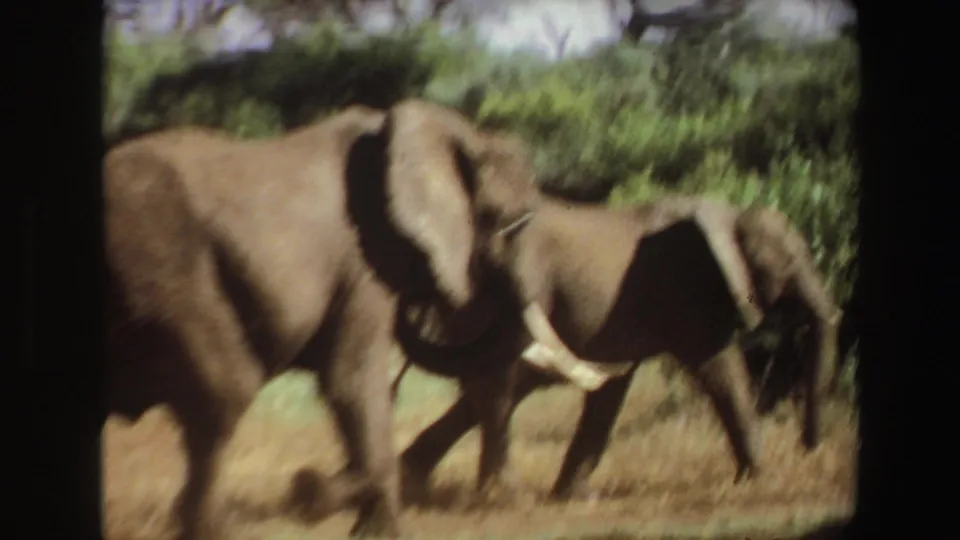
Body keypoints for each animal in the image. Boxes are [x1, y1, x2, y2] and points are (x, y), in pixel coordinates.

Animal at [104, 98, 609, 539]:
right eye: (509, 222)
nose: (303, 481)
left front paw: (362, 522)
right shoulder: (364, 259)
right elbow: (353, 380)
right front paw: (370, 520)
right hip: (167, 271)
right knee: (226, 391)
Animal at [391, 194, 842, 505]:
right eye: (788, 266)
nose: (808, 447)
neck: (729, 217)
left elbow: (613, 387)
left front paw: (576, 498)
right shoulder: (687, 295)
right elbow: (721, 371)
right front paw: (760, 480)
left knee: (502, 384)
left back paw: (409, 478)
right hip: (488, 303)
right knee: (498, 383)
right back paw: (496, 496)